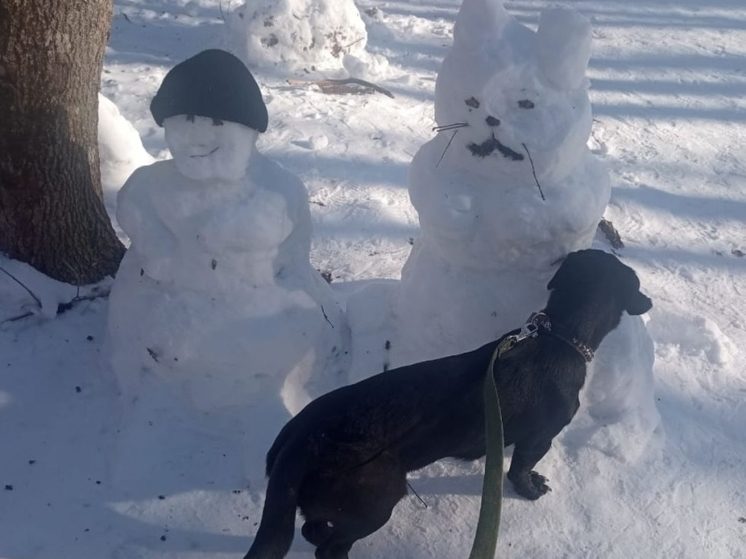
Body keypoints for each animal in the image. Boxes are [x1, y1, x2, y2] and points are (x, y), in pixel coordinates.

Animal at [246, 250, 652, 559]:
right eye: (636, 285)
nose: (649, 302)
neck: (561, 336)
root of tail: (298, 443)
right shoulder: (540, 437)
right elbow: (520, 468)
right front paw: (531, 489)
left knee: (315, 531)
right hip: (376, 499)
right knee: (329, 547)